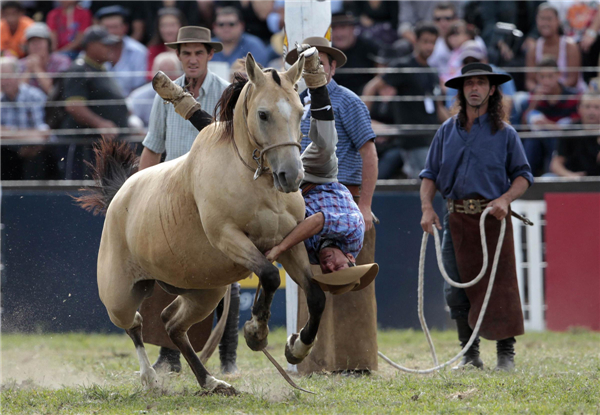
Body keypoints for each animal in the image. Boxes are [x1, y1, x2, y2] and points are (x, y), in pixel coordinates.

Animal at [78, 53, 328, 394]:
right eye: (263, 114)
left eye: (302, 112)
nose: (291, 176)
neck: (253, 180)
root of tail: (120, 194)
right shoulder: (228, 238)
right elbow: (268, 275)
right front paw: (256, 331)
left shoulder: (290, 243)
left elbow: (315, 295)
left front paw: (297, 348)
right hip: (119, 296)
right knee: (136, 324)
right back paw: (151, 379)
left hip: (204, 292)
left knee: (172, 324)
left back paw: (210, 381)